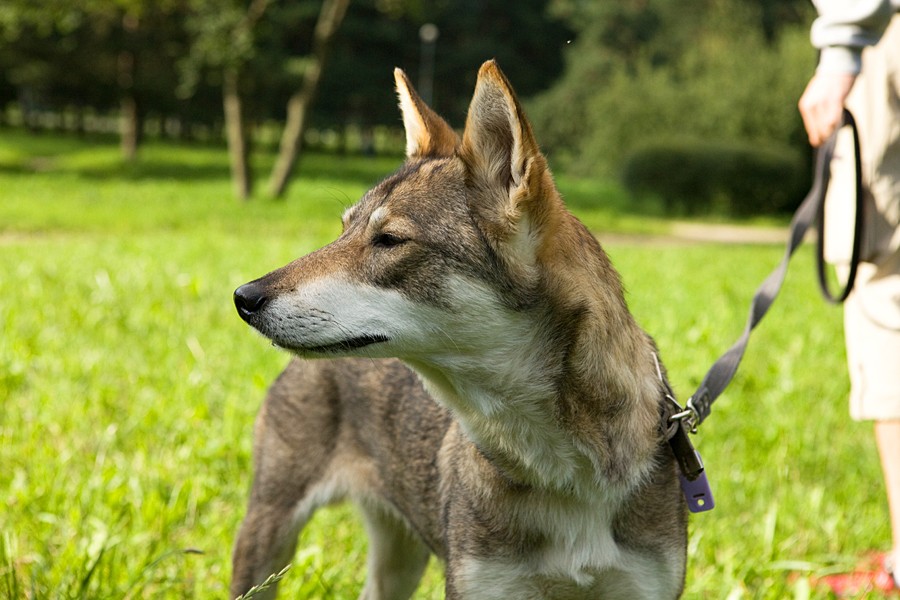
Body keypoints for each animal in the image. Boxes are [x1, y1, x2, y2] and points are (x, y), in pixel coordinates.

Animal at [232, 62, 688, 600]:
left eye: (389, 240)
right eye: (343, 231)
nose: (244, 297)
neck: (564, 473)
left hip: (395, 562)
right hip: (267, 537)